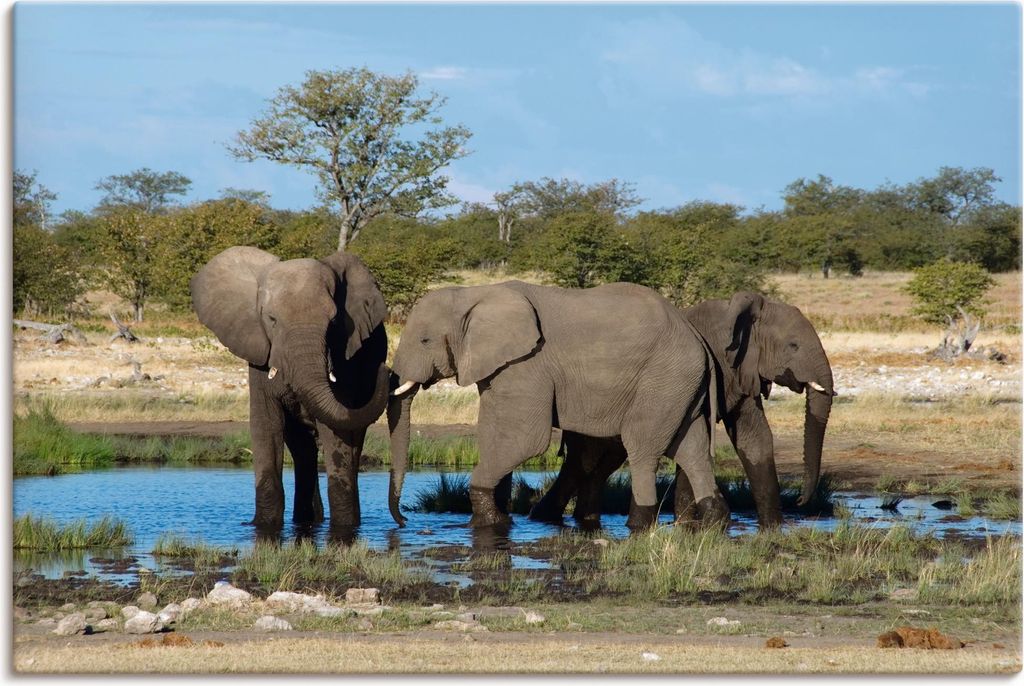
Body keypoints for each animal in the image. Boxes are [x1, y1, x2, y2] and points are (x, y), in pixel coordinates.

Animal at [190, 246, 391, 531]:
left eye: (333, 321)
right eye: (272, 319)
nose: (386, 370)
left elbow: (336, 433)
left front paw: (344, 530)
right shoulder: (259, 357)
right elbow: (265, 425)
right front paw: (263, 527)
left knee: (352, 445)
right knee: (302, 450)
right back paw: (307, 520)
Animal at [385, 280, 727, 531]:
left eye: (425, 340)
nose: (404, 522)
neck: (474, 293)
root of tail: (697, 338)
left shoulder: (528, 364)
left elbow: (524, 440)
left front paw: (488, 522)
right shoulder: (502, 367)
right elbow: (496, 435)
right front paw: (497, 520)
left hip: (663, 379)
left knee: (643, 448)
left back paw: (639, 525)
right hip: (679, 386)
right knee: (692, 448)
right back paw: (715, 521)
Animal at [528, 291, 836, 529]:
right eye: (793, 345)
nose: (800, 501)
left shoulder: (742, 373)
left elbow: (754, 440)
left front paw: (773, 528)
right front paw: (687, 523)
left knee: (599, 465)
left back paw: (581, 520)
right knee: (584, 460)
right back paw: (545, 519)